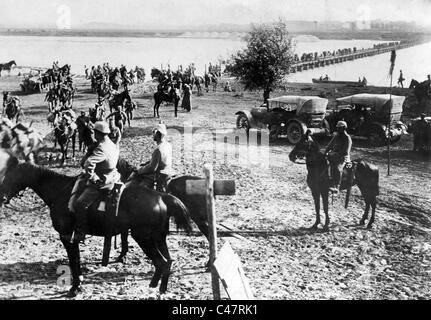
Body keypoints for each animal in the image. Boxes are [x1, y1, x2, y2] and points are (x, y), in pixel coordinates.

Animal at [0, 150, 194, 298]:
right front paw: (78, 285)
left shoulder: (67, 237)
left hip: (144, 237)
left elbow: (74, 262)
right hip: (159, 238)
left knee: (161, 262)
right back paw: (158, 288)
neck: (60, 193)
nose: (2, 197)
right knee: (167, 262)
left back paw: (155, 289)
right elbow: (77, 261)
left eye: (11, 175)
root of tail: (162, 197)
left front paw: (74, 288)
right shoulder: (73, 238)